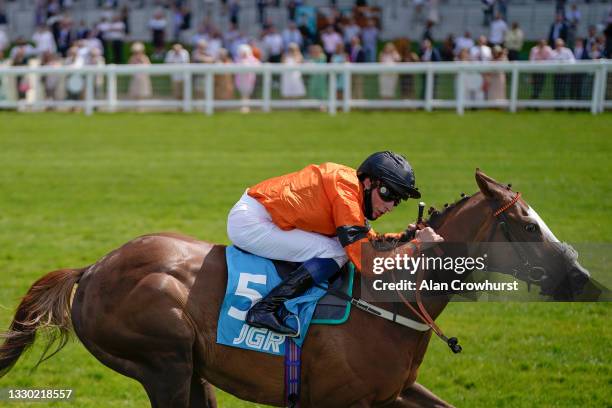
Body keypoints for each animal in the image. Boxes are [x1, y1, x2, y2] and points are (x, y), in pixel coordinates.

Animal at [0, 171, 592, 406]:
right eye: (530, 227)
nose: (582, 278)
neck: (388, 298)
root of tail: (94, 268)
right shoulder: (340, 401)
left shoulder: (391, 393)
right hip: (162, 363)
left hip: (190, 370)